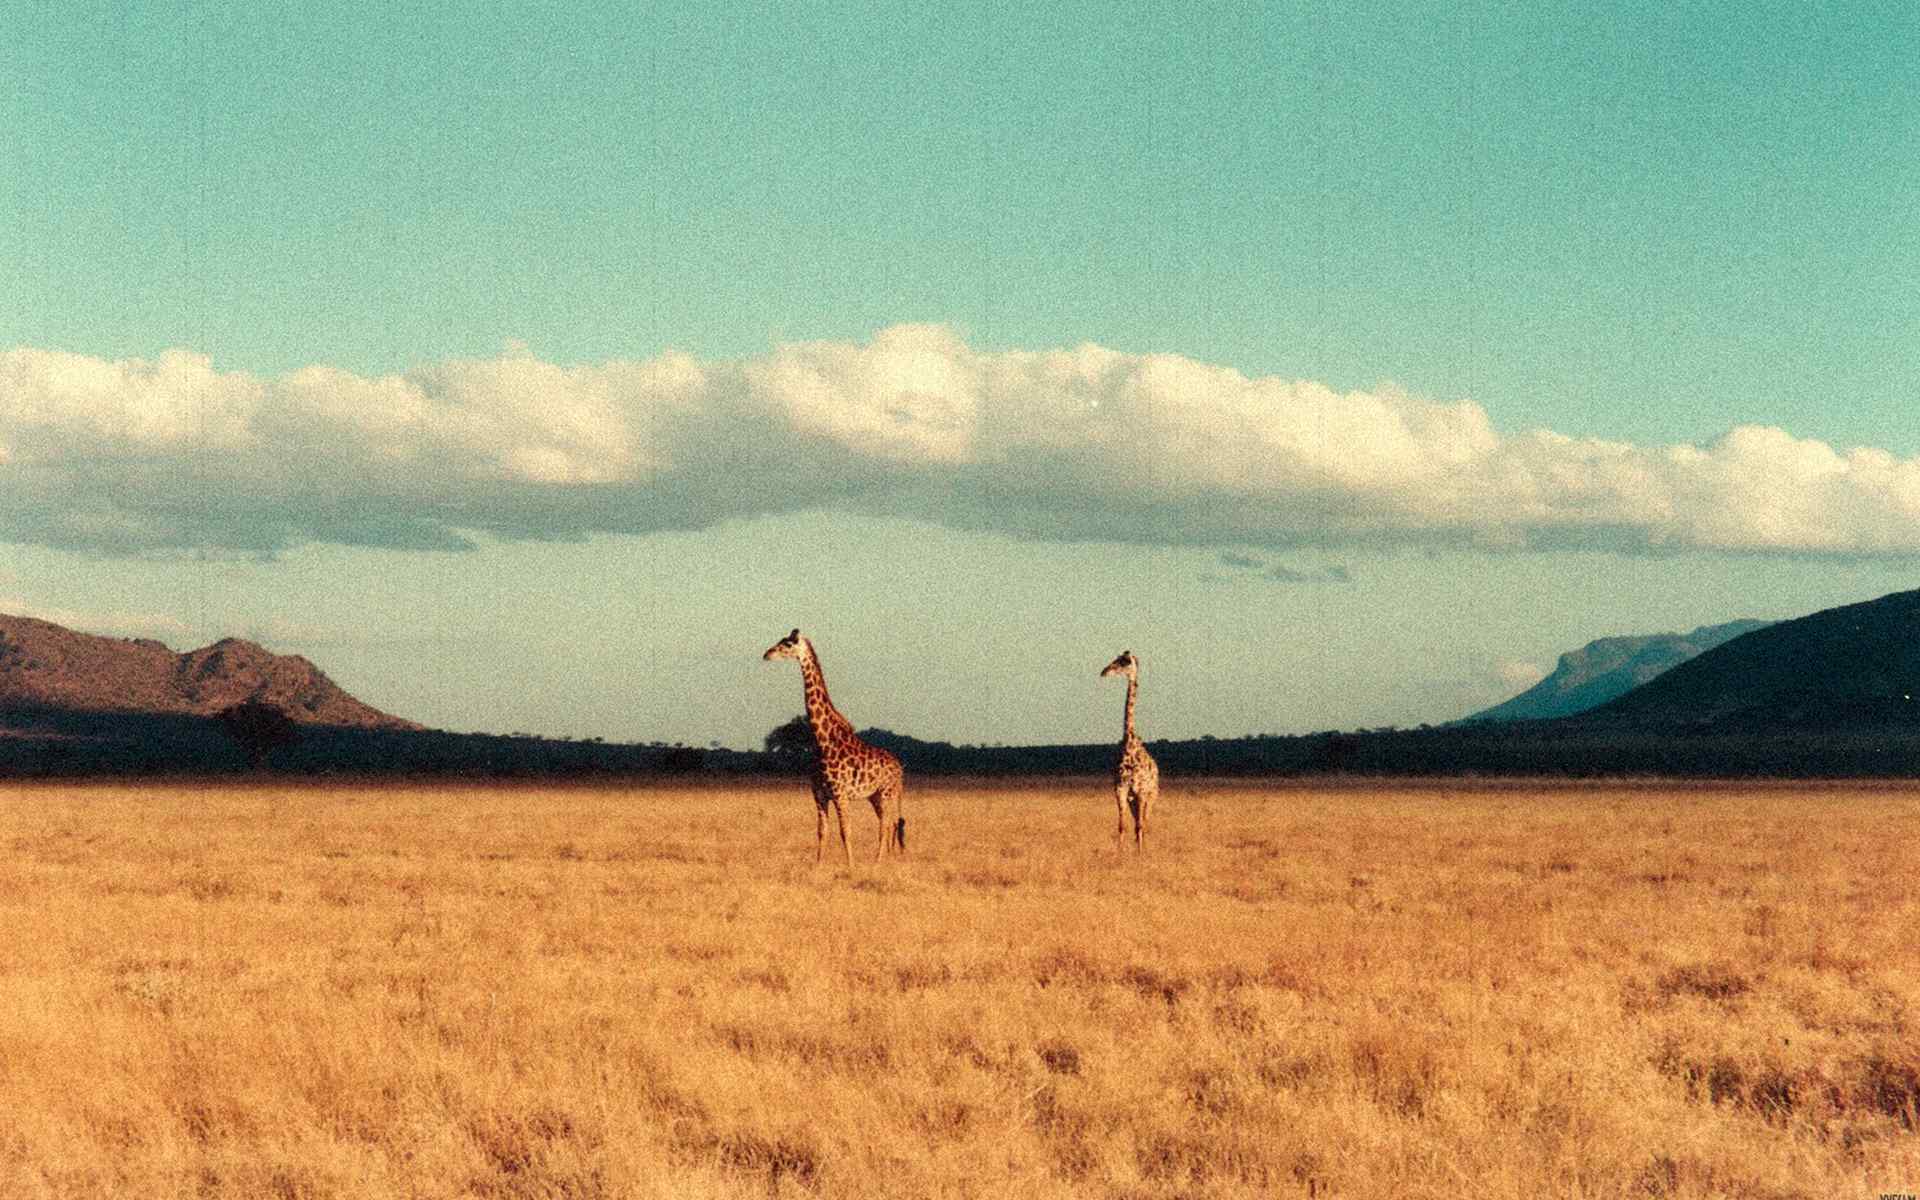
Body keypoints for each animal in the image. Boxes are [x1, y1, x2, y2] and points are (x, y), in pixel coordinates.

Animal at [760, 633, 902, 864]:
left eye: (787, 644)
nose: (767, 654)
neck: (823, 740)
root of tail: (900, 767)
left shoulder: (840, 794)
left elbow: (846, 831)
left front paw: (851, 866)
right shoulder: (819, 794)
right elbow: (822, 831)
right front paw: (818, 865)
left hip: (886, 793)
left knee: (886, 825)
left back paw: (878, 862)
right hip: (874, 796)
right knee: (887, 824)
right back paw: (882, 860)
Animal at [1105, 648, 1159, 848]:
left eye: (1125, 662)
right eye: (1116, 659)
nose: (1104, 671)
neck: (1129, 743)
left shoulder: (1141, 791)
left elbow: (1139, 827)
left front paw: (1140, 853)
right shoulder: (1120, 790)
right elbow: (1122, 826)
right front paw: (1120, 852)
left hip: (1151, 796)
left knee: (1145, 823)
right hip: (1133, 800)